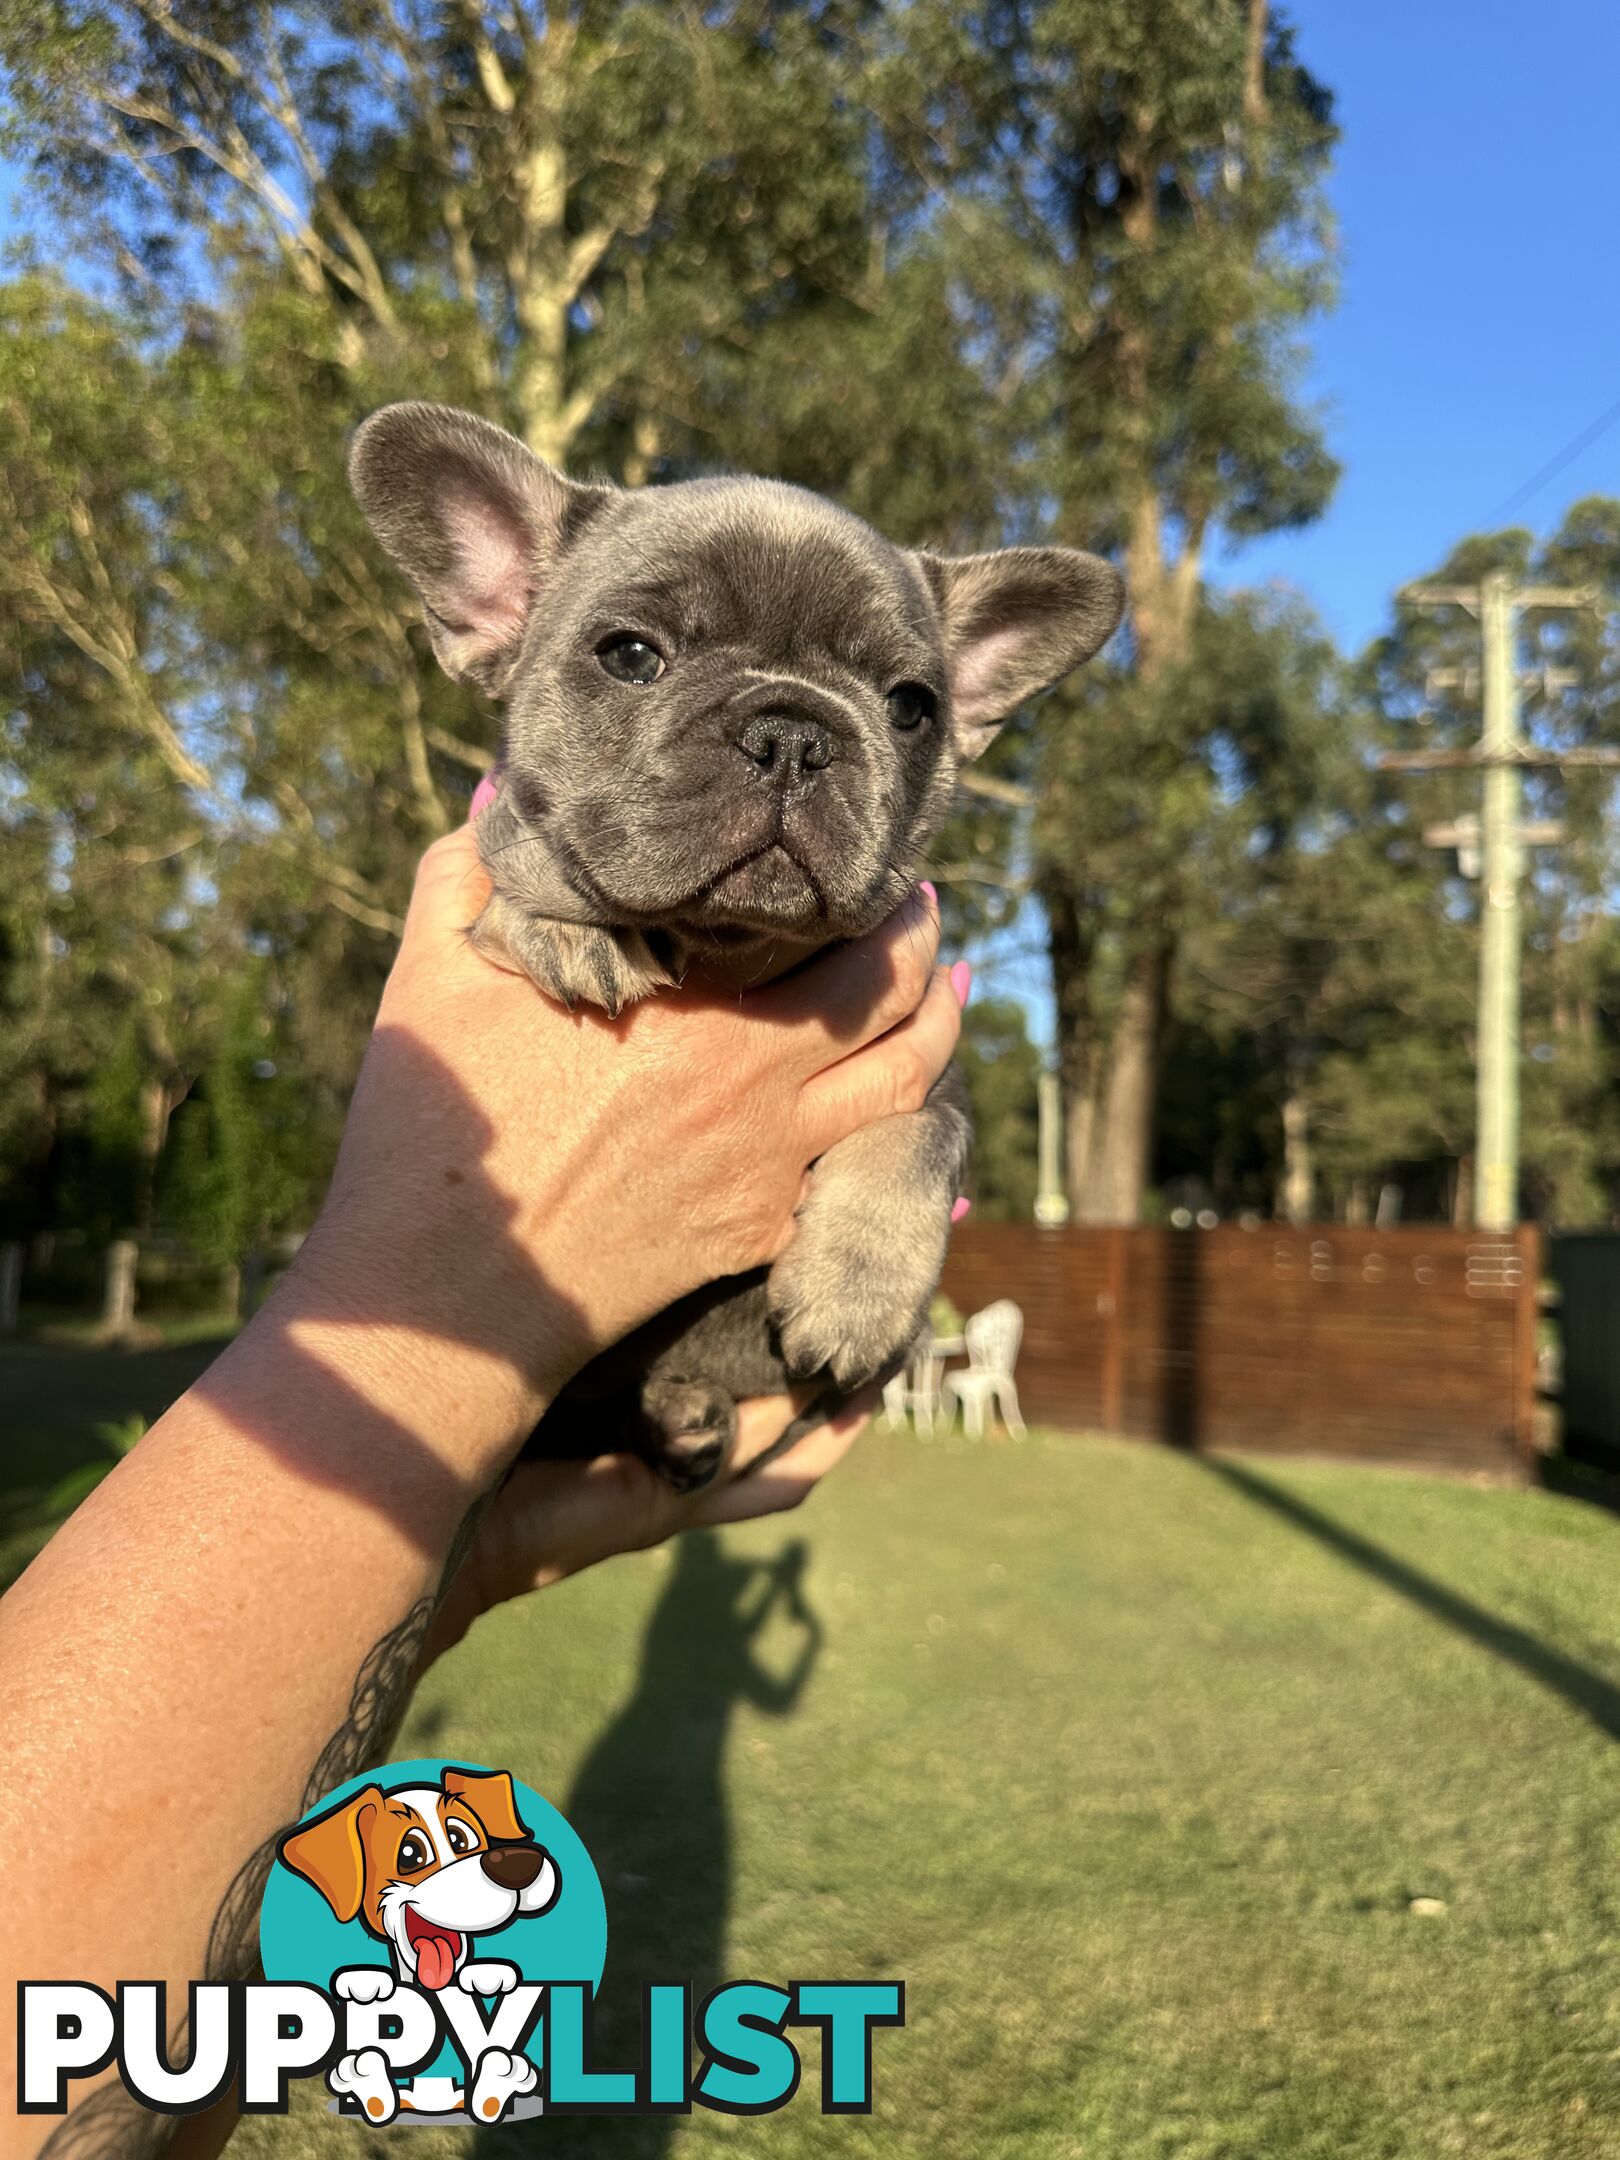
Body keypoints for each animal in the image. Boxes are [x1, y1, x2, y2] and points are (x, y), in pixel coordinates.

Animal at [349, 406, 1123, 1486]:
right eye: (631, 655)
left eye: (912, 705)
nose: (795, 732)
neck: (728, 944)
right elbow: (521, 865)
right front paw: (560, 921)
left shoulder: (934, 1058)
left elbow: (919, 1140)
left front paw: (857, 1294)